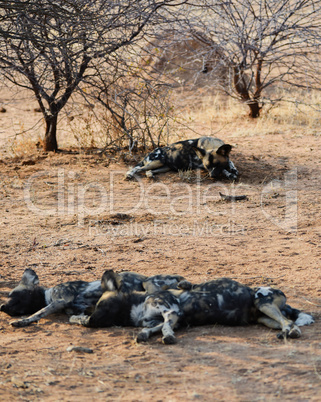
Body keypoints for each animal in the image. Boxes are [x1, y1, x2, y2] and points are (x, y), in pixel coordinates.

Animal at [0, 266, 184, 326]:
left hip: (149, 283)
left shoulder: (60, 300)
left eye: (12, 294)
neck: (47, 295)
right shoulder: (77, 308)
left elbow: (37, 313)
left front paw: (22, 321)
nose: (2, 307)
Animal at [69, 278, 312, 344]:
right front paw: (145, 335)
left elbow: (164, 328)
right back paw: (284, 333)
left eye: (102, 305)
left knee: (290, 322)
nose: (90, 320)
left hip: (263, 301)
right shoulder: (172, 318)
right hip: (263, 317)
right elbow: (151, 328)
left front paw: (167, 337)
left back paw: (291, 332)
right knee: (283, 322)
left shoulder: (170, 312)